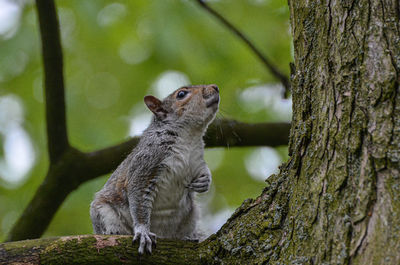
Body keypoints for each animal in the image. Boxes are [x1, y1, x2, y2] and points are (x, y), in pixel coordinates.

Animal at [90, 83, 220, 253]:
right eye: (181, 94)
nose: (215, 87)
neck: (189, 137)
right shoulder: (146, 164)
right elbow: (138, 198)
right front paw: (143, 232)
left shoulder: (197, 161)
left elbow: (204, 171)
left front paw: (204, 182)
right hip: (103, 211)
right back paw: (113, 232)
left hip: (191, 216)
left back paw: (188, 237)